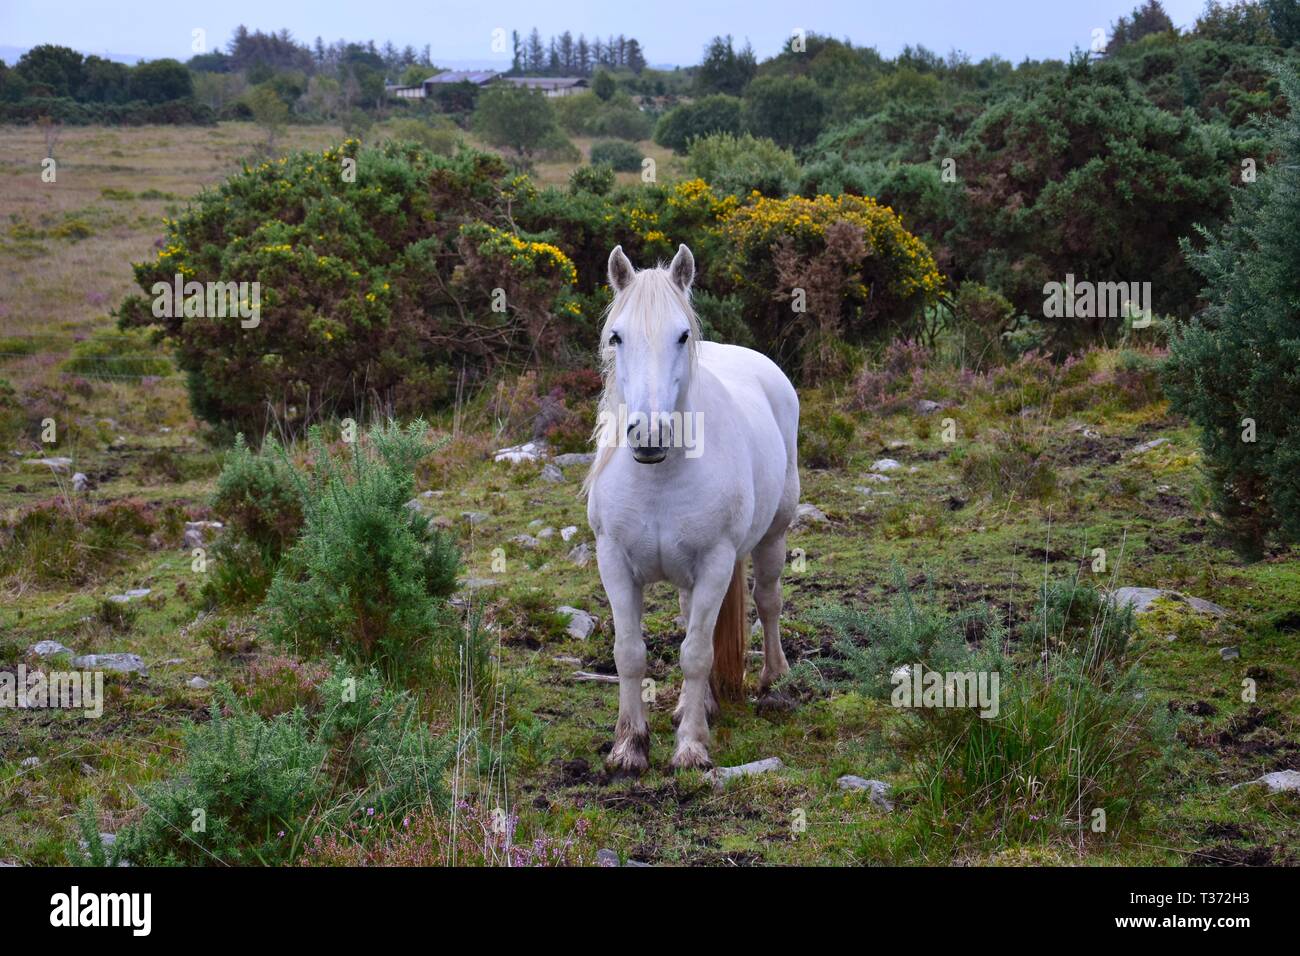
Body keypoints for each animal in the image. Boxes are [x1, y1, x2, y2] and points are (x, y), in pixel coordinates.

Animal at [585, 243, 795, 775]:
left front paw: (691, 747)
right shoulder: (613, 562)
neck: (659, 477)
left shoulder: (716, 562)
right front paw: (629, 746)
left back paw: (774, 680)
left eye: (682, 335)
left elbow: (697, 653)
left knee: (768, 601)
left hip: (774, 535)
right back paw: (691, 704)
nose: (649, 434)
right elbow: (629, 653)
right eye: (616, 336)